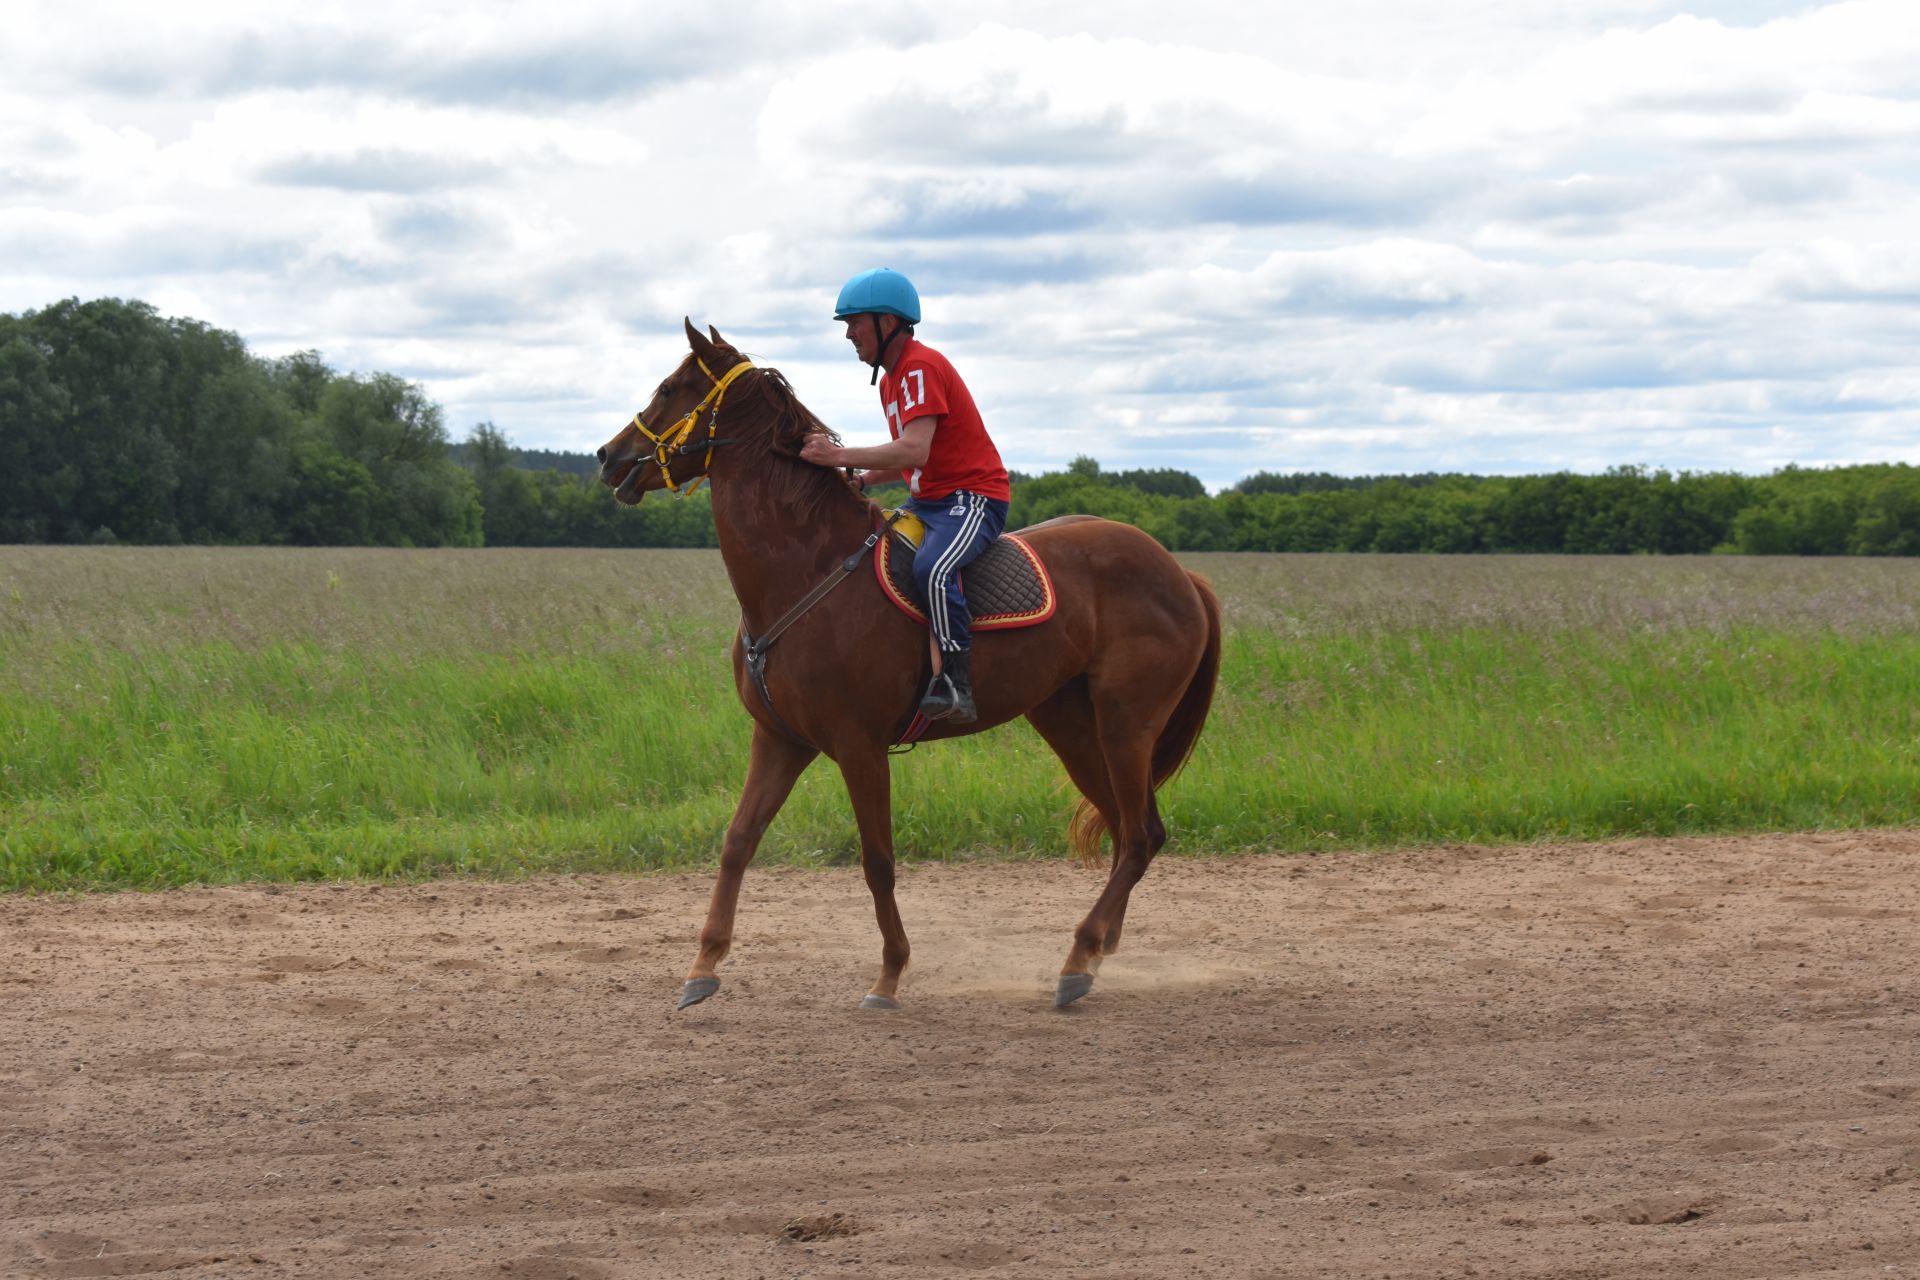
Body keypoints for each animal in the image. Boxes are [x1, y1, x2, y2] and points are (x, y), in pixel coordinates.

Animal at [591, 318, 1221, 1013]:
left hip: (1126, 723)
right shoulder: (779, 738)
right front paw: (703, 967)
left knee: (1139, 836)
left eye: (670, 387)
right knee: (1125, 827)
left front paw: (890, 973)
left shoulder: (859, 744)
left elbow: (877, 861)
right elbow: (737, 842)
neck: (805, 571)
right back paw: (1099, 950)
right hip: (1071, 724)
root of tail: (1179, 573)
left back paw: (1079, 957)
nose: (607, 456)